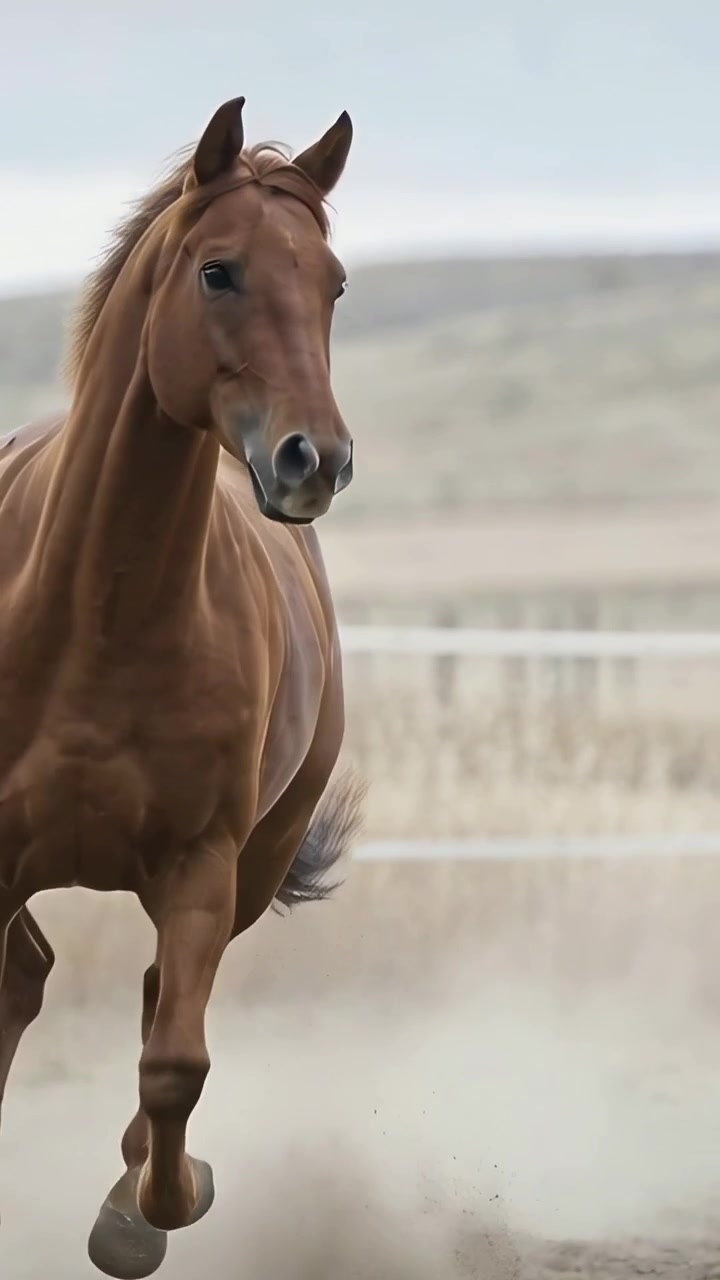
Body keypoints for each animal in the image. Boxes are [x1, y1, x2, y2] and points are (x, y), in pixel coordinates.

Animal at [0, 95, 365, 1278]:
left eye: (333, 283)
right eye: (219, 272)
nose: (314, 460)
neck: (100, 613)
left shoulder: (202, 866)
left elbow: (174, 1062)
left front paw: (142, 1213)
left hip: (254, 862)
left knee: (150, 1002)